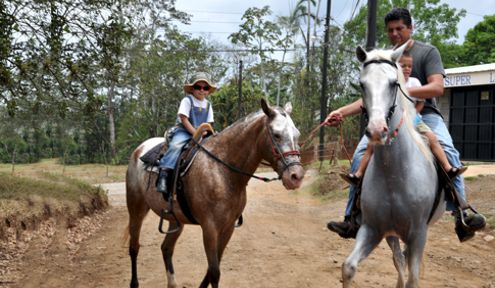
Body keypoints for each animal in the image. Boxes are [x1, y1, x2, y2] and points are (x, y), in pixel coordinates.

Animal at [126, 98, 304, 286]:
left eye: (297, 134)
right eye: (276, 135)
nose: (296, 176)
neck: (222, 171)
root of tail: (139, 149)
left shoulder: (228, 227)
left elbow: (211, 269)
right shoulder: (210, 228)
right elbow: (214, 272)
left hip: (175, 220)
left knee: (166, 248)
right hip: (136, 209)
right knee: (134, 247)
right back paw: (134, 282)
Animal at [342, 41, 448, 288]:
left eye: (393, 84)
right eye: (362, 84)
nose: (376, 130)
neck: (394, 175)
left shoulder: (418, 233)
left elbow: (412, 278)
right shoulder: (372, 229)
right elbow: (349, 267)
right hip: (392, 234)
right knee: (399, 259)